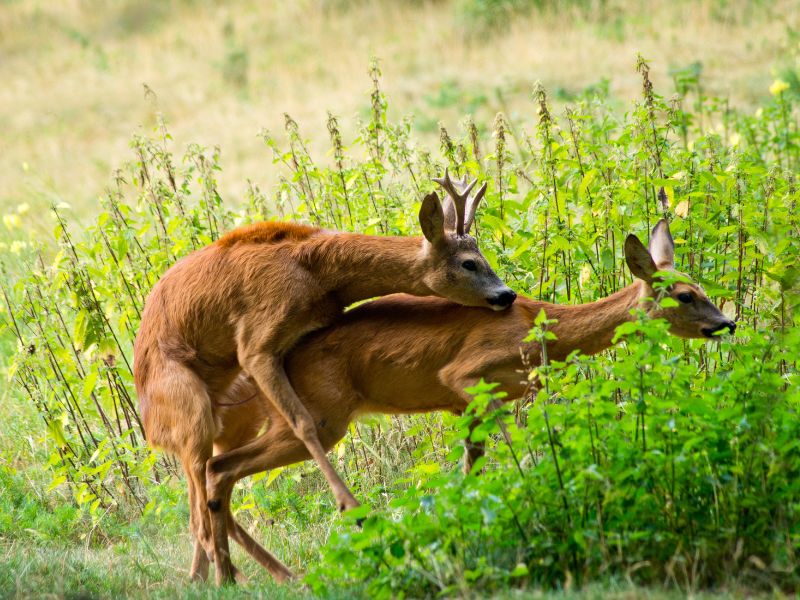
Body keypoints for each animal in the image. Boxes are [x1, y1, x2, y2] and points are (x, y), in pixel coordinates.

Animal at [134, 171, 516, 584]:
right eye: (469, 263)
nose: (507, 294)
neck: (316, 275)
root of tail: (149, 426)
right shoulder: (256, 342)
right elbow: (304, 422)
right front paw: (351, 507)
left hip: (237, 415)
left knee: (214, 490)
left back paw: (257, 575)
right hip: (189, 411)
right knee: (198, 509)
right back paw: (219, 577)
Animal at [192, 218, 732, 580]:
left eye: (702, 287)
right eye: (685, 295)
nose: (726, 322)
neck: (545, 330)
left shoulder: (468, 404)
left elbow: (472, 466)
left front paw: (463, 527)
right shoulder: (466, 375)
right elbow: (515, 443)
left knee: (221, 469)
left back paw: (235, 574)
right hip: (323, 416)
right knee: (221, 467)